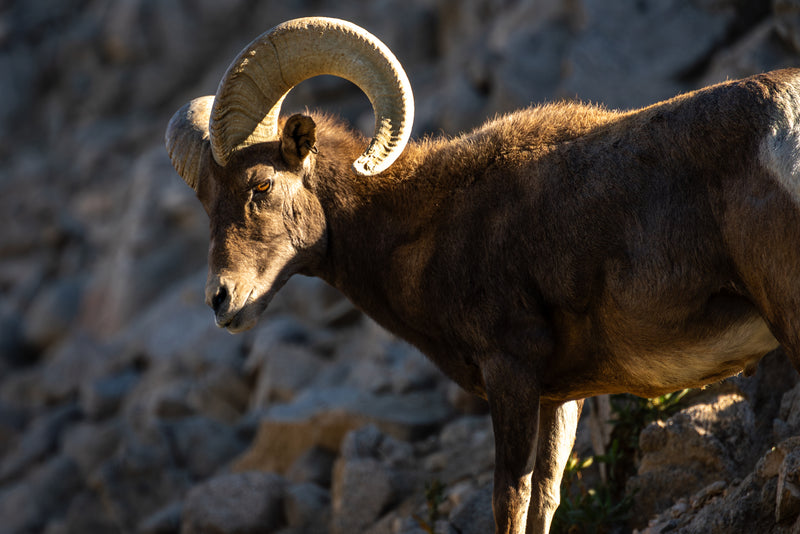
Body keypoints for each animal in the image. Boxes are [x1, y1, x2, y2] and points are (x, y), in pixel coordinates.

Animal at [165, 16, 800, 534]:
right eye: (207, 203)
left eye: (260, 185)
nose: (221, 300)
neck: (428, 223)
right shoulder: (560, 396)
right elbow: (546, 497)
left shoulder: (510, 371)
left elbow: (510, 501)